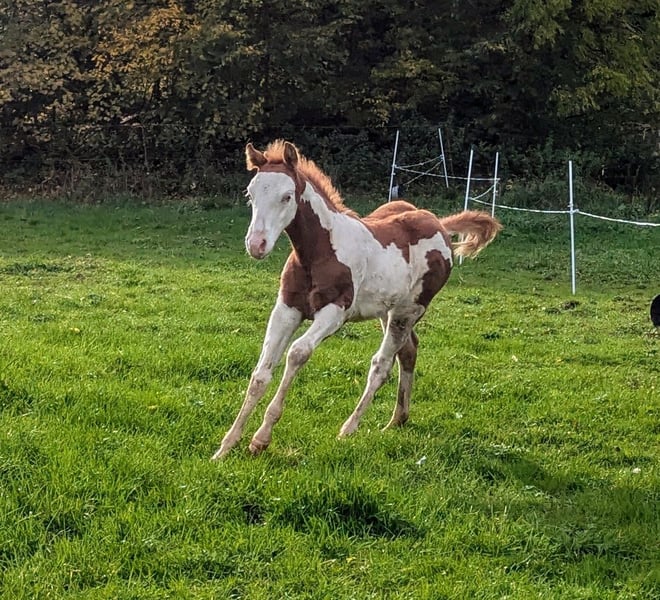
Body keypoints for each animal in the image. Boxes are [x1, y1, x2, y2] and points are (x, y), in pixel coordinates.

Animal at [211, 140, 501, 459]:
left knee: (382, 364)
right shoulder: (286, 308)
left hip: (407, 311)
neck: (320, 252)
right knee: (408, 351)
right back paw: (398, 419)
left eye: (286, 197)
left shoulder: (334, 313)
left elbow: (297, 353)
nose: (256, 245)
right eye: (250, 194)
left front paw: (261, 438)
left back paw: (350, 428)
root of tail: (439, 223)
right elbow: (261, 373)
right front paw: (226, 446)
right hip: (387, 311)